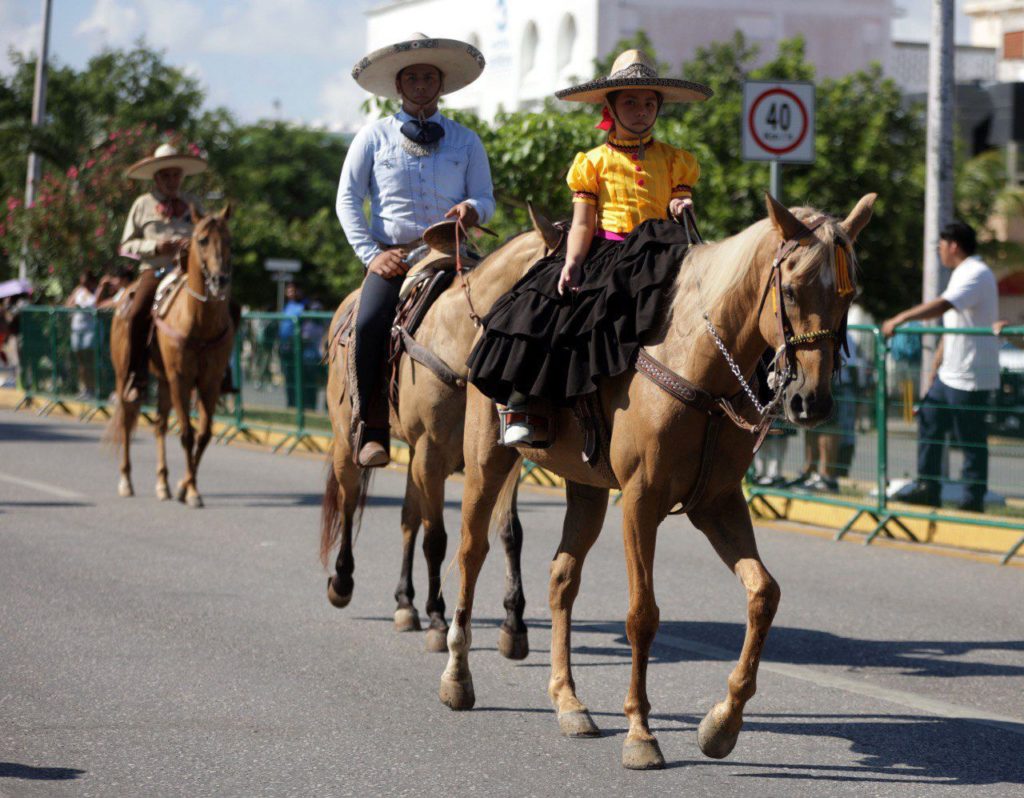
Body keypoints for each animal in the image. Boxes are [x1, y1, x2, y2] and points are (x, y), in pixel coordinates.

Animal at [108, 204, 235, 506]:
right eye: (202, 239)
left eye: (230, 242)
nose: (220, 280)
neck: (198, 320)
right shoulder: (181, 379)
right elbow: (187, 434)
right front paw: (190, 491)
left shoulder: (210, 382)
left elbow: (204, 434)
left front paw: (185, 487)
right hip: (125, 376)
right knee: (127, 420)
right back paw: (126, 480)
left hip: (164, 382)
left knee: (159, 426)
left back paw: (162, 483)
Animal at [319, 220, 561, 655]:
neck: (462, 343)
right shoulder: (431, 455)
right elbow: (437, 538)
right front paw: (437, 617)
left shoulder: (503, 460)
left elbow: (509, 533)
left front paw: (513, 624)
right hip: (349, 441)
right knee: (349, 500)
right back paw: (343, 582)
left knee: (407, 519)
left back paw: (404, 603)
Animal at [436, 191, 876, 766]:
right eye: (792, 290)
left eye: (848, 295)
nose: (812, 402)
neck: (701, 360)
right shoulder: (641, 501)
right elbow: (642, 615)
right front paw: (641, 733)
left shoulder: (717, 502)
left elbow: (764, 594)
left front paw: (722, 723)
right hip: (486, 459)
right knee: (471, 553)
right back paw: (457, 678)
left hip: (586, 487)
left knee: (561, 578)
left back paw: (569, 702)